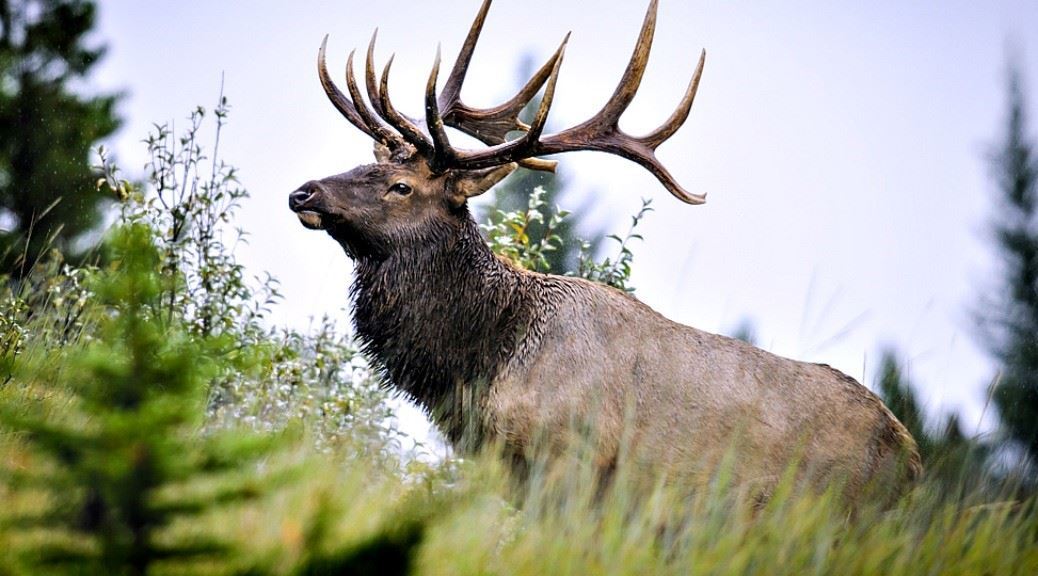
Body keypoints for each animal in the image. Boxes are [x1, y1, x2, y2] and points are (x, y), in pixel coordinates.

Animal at [288, 0, 921, 504]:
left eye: (402, 186)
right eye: (365, 162)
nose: (304, 192)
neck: (483, 362)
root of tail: (911, 460)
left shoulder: (572, 457)